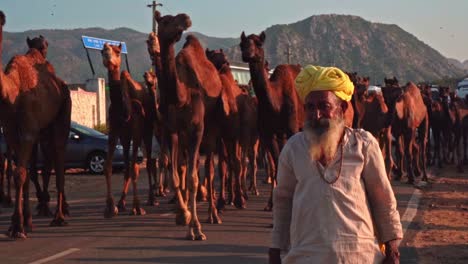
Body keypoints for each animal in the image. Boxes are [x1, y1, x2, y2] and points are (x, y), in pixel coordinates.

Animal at [0, 11, 71, 239]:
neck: (11, 91)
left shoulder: (28, 132)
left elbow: (20, 174)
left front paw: (18, 227)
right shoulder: (11, 133)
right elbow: (22, 174)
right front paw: (22, 223)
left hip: (63, 111)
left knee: (59, 158)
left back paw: (59, 217)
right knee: (46, 164)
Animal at [207, 48, 262, 211]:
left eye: (224, 58)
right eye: (210, 57)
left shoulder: (236, 135)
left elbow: (237, 164)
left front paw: (239, 200)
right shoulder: (221, 137)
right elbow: (224, 167)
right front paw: (222, 201)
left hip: (251, 139)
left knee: (247, 162)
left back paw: (249, 191)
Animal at [239, 32, 306, 211]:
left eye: (259, 43)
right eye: (242, 43)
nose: (247, 53)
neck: (276, 103)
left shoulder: (291, 129)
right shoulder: (268, 134)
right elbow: (276, 166)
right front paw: (270, 205)